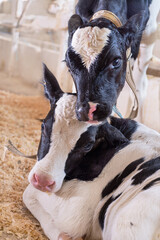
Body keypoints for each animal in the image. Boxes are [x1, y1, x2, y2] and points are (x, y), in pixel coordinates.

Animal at [23, 65, 160, 240]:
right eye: (44, 126)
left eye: (88, 144)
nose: (42, 180)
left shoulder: (76, 210)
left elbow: (28, 194)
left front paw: (63, 235)